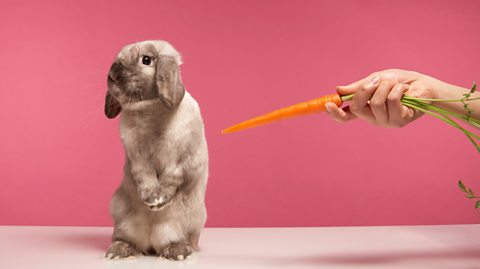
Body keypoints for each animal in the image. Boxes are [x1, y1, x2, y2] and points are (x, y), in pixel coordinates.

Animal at [103, 40, 208, 260]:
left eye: (146, 60)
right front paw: (151, 197)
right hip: (121, 217)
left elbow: (172, 178)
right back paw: (119, 251)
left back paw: (178, 251)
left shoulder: (185, 160)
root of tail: (151, 244)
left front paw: (158, 202)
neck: (150, 110)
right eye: (116, 60)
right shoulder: (136, 157)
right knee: (127, 239)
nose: (113, 74)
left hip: (187, 222)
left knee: (175, 240)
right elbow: (145, 175)